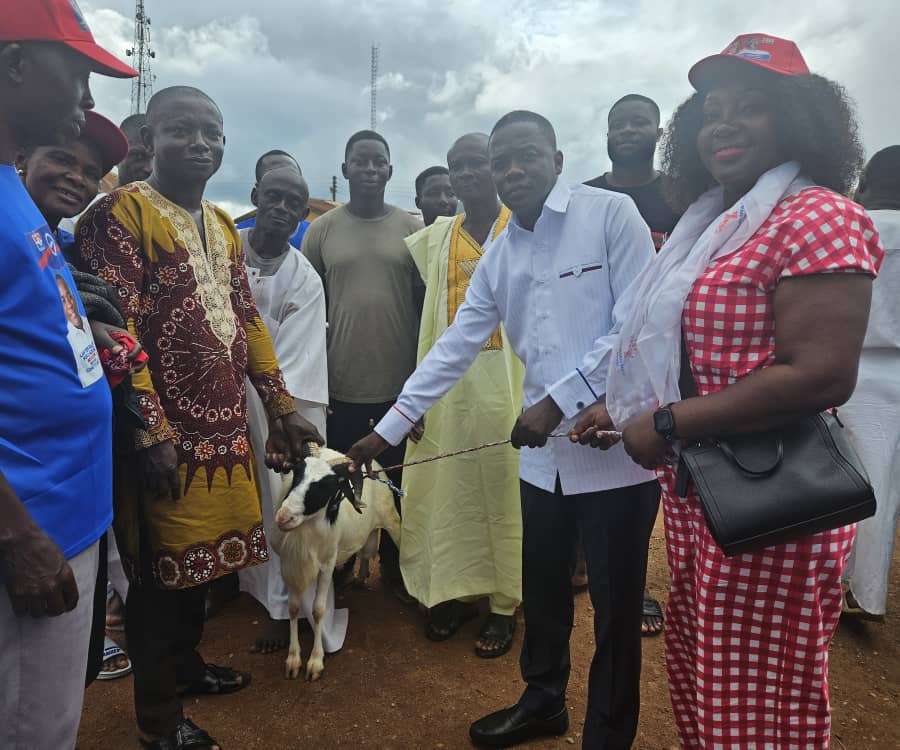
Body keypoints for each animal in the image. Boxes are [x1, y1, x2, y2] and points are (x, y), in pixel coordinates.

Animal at [270, 450, 400, 684]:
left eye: (327, 486)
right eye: (296, 474)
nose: (283, 517)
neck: (305, 533)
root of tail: (375, 467)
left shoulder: (327, 565)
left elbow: (318, 610)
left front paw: (315, 663)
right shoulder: (289, 564)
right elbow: (293, 608)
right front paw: (293, 661)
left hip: (392, 520)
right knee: (365, 553)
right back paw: (360, 578)